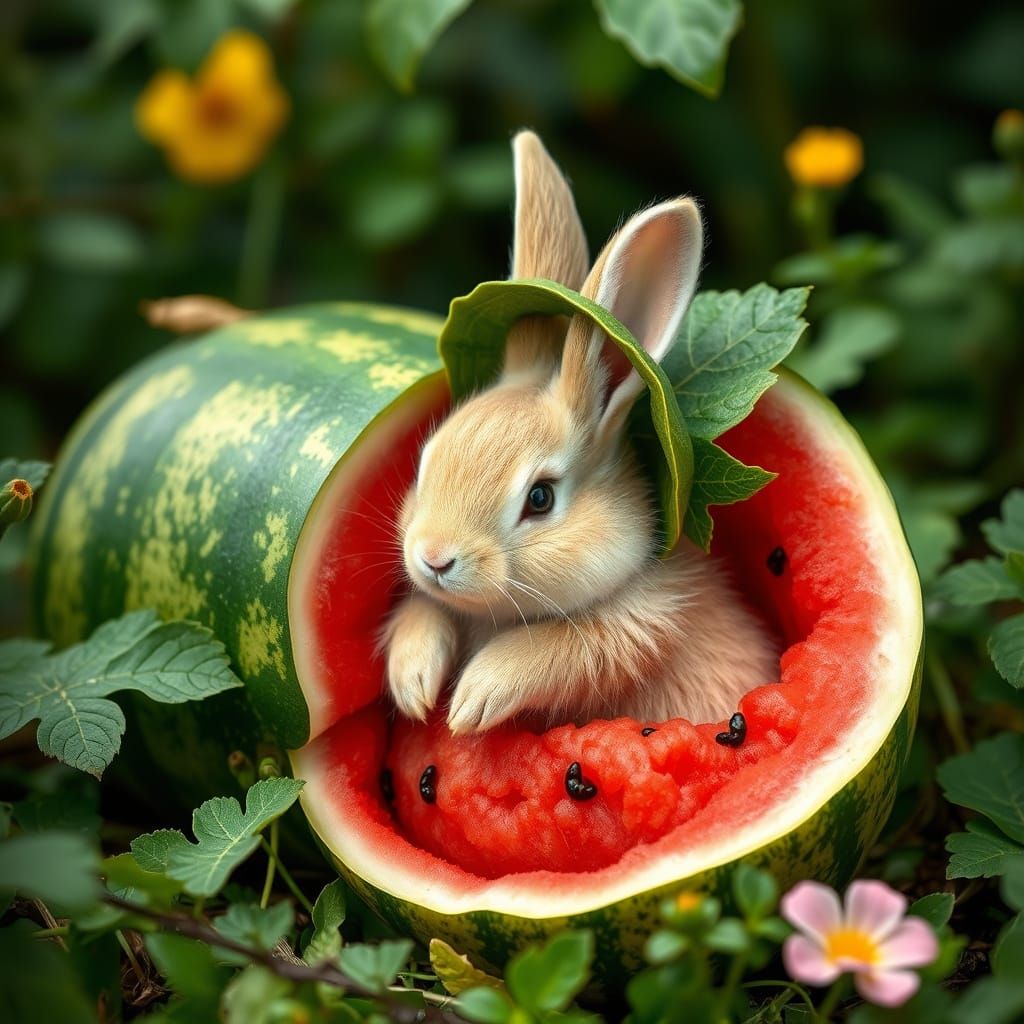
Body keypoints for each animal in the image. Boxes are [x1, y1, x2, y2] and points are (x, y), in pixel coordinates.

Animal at [381, 130, 780, 734]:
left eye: (540, 498)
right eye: (427, 461)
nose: (434, 558)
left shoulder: (634, 628)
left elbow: (559, 652)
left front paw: (471, 702)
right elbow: (423, 611)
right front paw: (414, 687)